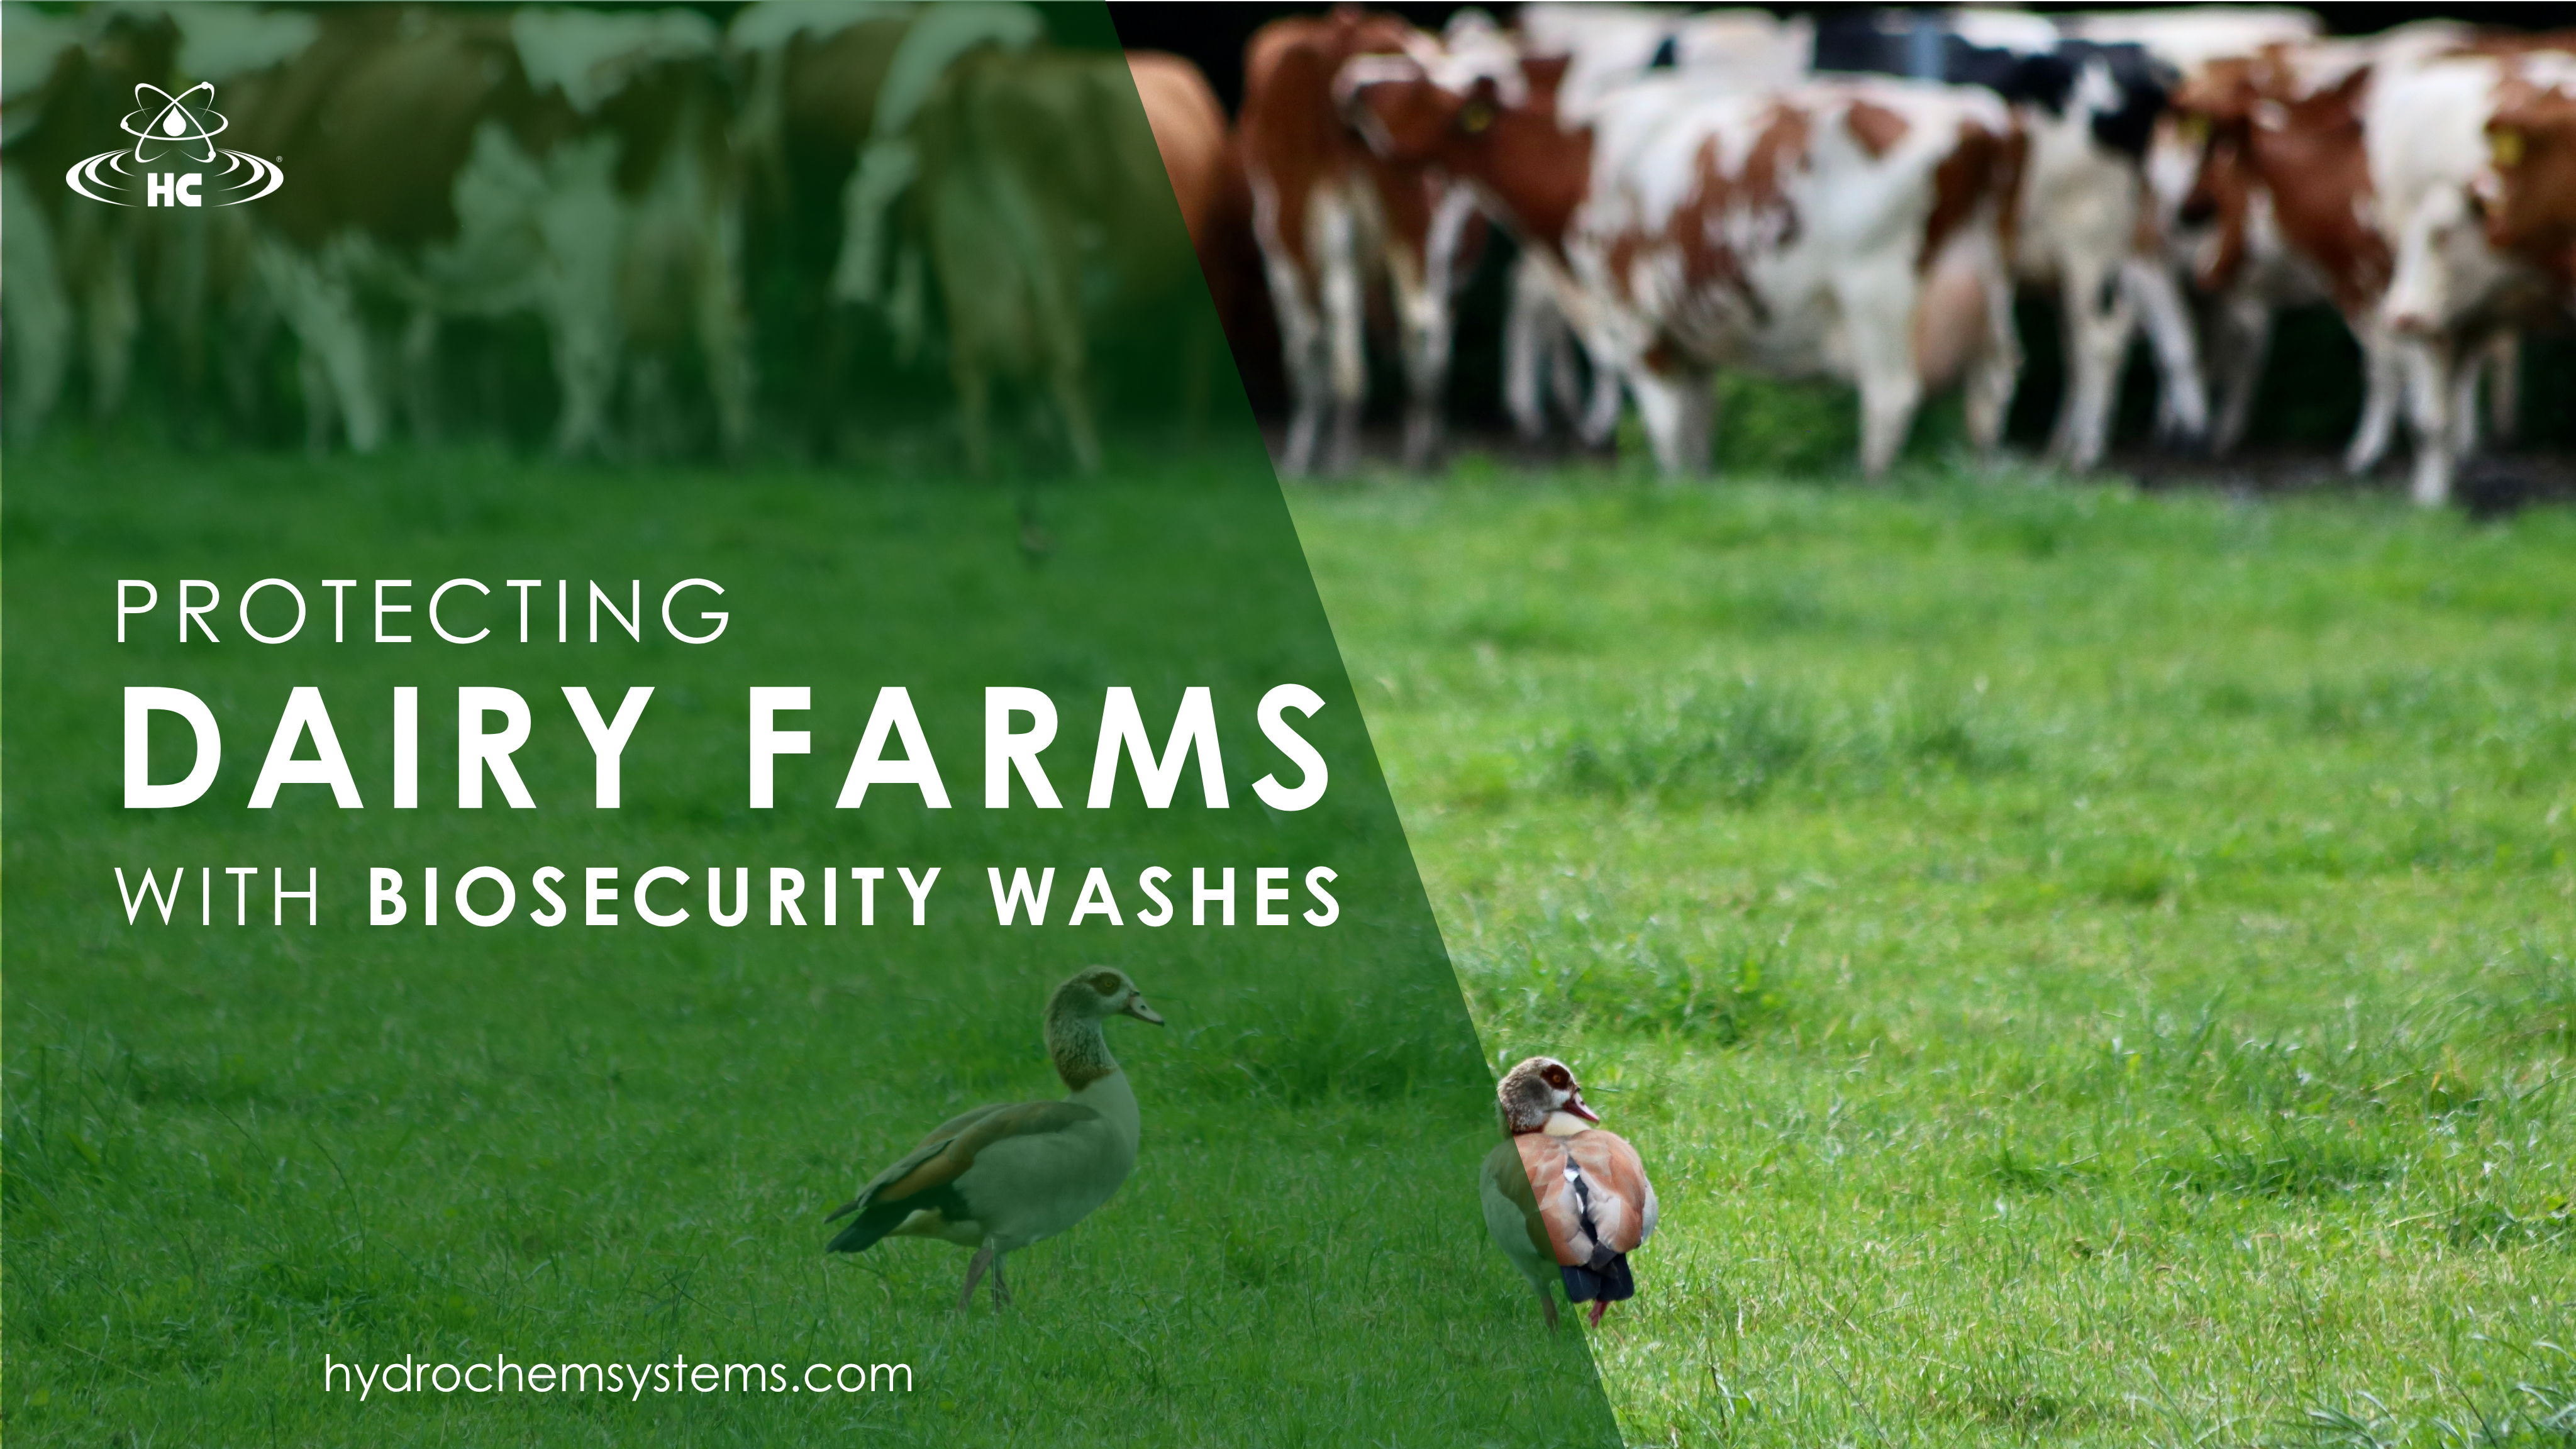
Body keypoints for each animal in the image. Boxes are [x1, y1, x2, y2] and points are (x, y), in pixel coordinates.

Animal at [1240, 8, 1486, 475]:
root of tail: (1345, 29)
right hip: (1416, 224)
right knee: (1421, 330)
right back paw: (1414, 453)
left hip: (1297, 229)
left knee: (1332, 336)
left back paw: (1329, 455)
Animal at [1342, 54, 2024, 479]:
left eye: (1424, 84)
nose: (1354, 84)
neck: (1579, 156)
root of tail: (1983, 116)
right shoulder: (1691, 340)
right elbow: (1697, 440)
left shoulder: (1638, 322)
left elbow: (1669, 434)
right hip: (1987, 299)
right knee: (1989, 394)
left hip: (1877, 295)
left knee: (1890, 398)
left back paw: (1869, 484)